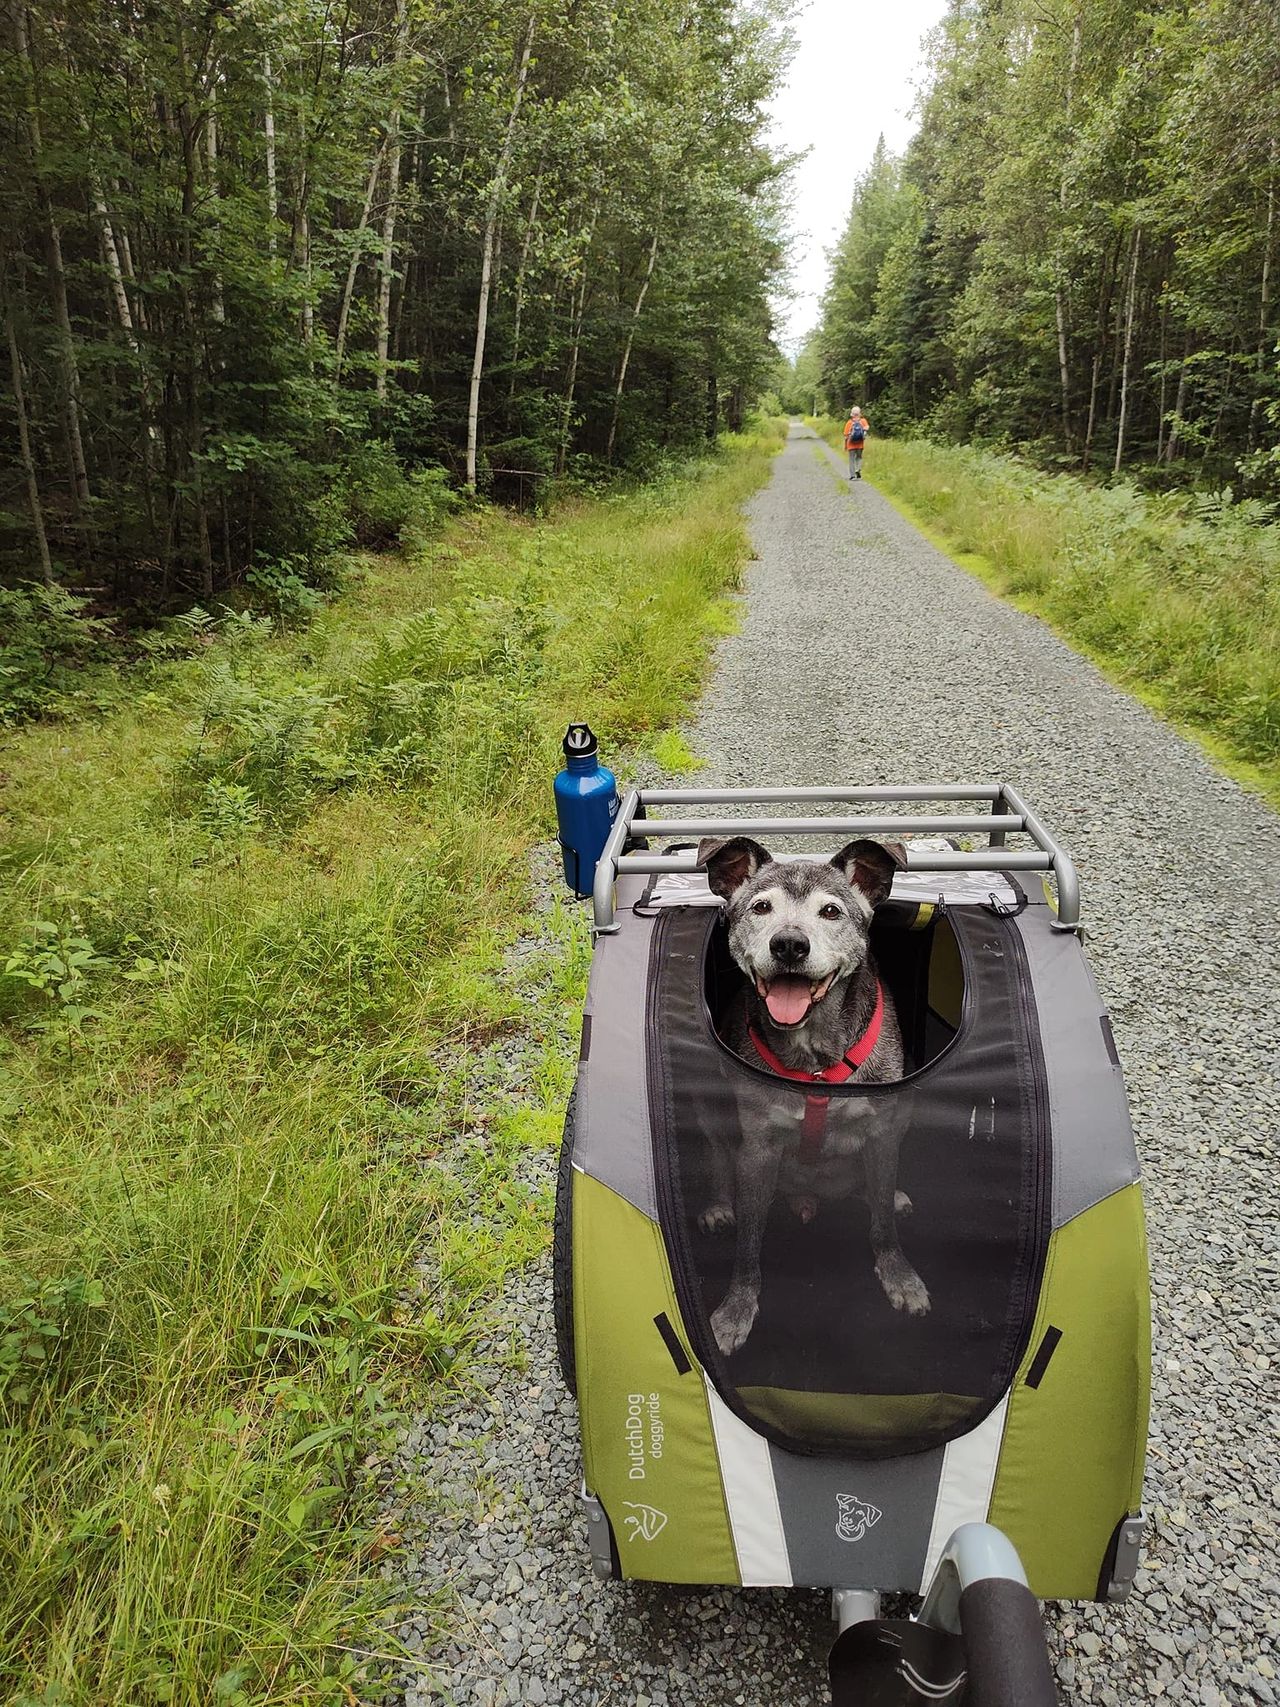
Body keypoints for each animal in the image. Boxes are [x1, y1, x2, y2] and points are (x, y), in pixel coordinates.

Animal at [696, 833, 935, 1351]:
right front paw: (736, 1310)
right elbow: (749, 1244)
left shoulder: (882, 1132)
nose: (789, 944)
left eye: (830, 911)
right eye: (761, 907)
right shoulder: (758, 1150)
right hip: (710, 1109)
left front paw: (900, 1277)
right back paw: (719, 1206)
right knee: (718, 1159)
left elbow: (882, 1225)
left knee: (875, 1191)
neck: (816, 1059)